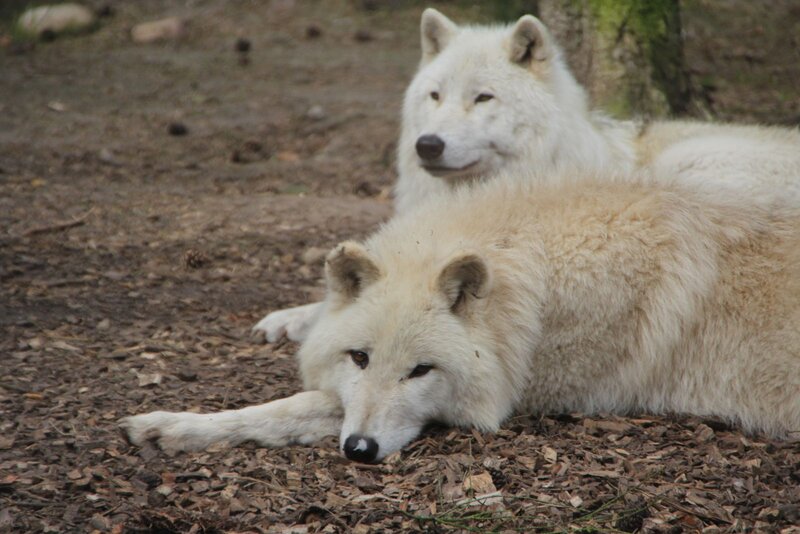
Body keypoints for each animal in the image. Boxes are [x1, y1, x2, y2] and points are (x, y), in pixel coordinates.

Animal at [123, 174, 800, 462]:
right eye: (359, 358)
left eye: (421, 371)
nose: (360, 450)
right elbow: (279, 408)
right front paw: (170, 427)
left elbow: (297, 408)